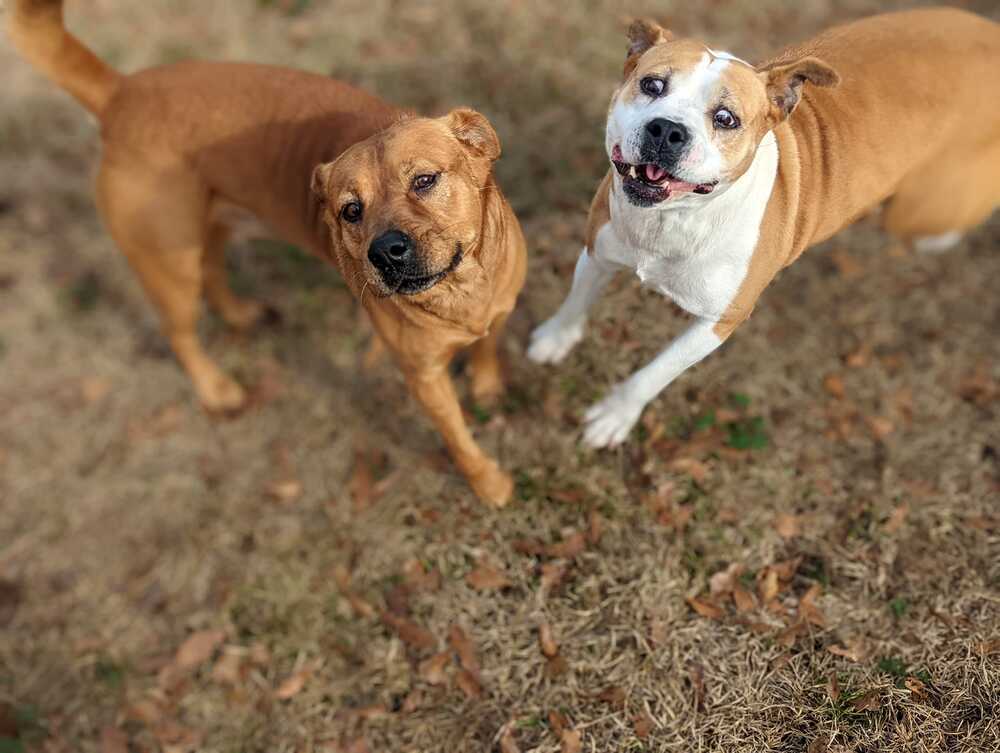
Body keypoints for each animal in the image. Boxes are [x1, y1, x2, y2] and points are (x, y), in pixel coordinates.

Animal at [11, 1, 528, 506]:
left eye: (424, 180)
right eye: (351, 211)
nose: (385, 252)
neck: (463, 290)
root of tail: (120, 93)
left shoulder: (498, 311)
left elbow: (489, 346)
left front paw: (487, 384)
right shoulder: (424, 377)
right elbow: (459, 440)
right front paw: (490, 485)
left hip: (210, 226)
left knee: (213, 270)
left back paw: (242, 315)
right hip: (169, 266)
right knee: (179, 331)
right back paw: (218, 390)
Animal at [528, 8, 996, 446]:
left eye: (725, 118)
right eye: (653, 86)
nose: (667, 130)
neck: (675, 219)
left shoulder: (718, 323)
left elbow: (655, 373)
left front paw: (615, 416)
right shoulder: (598, 250)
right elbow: (576, 300)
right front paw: (554, 339)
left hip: (918, 210)